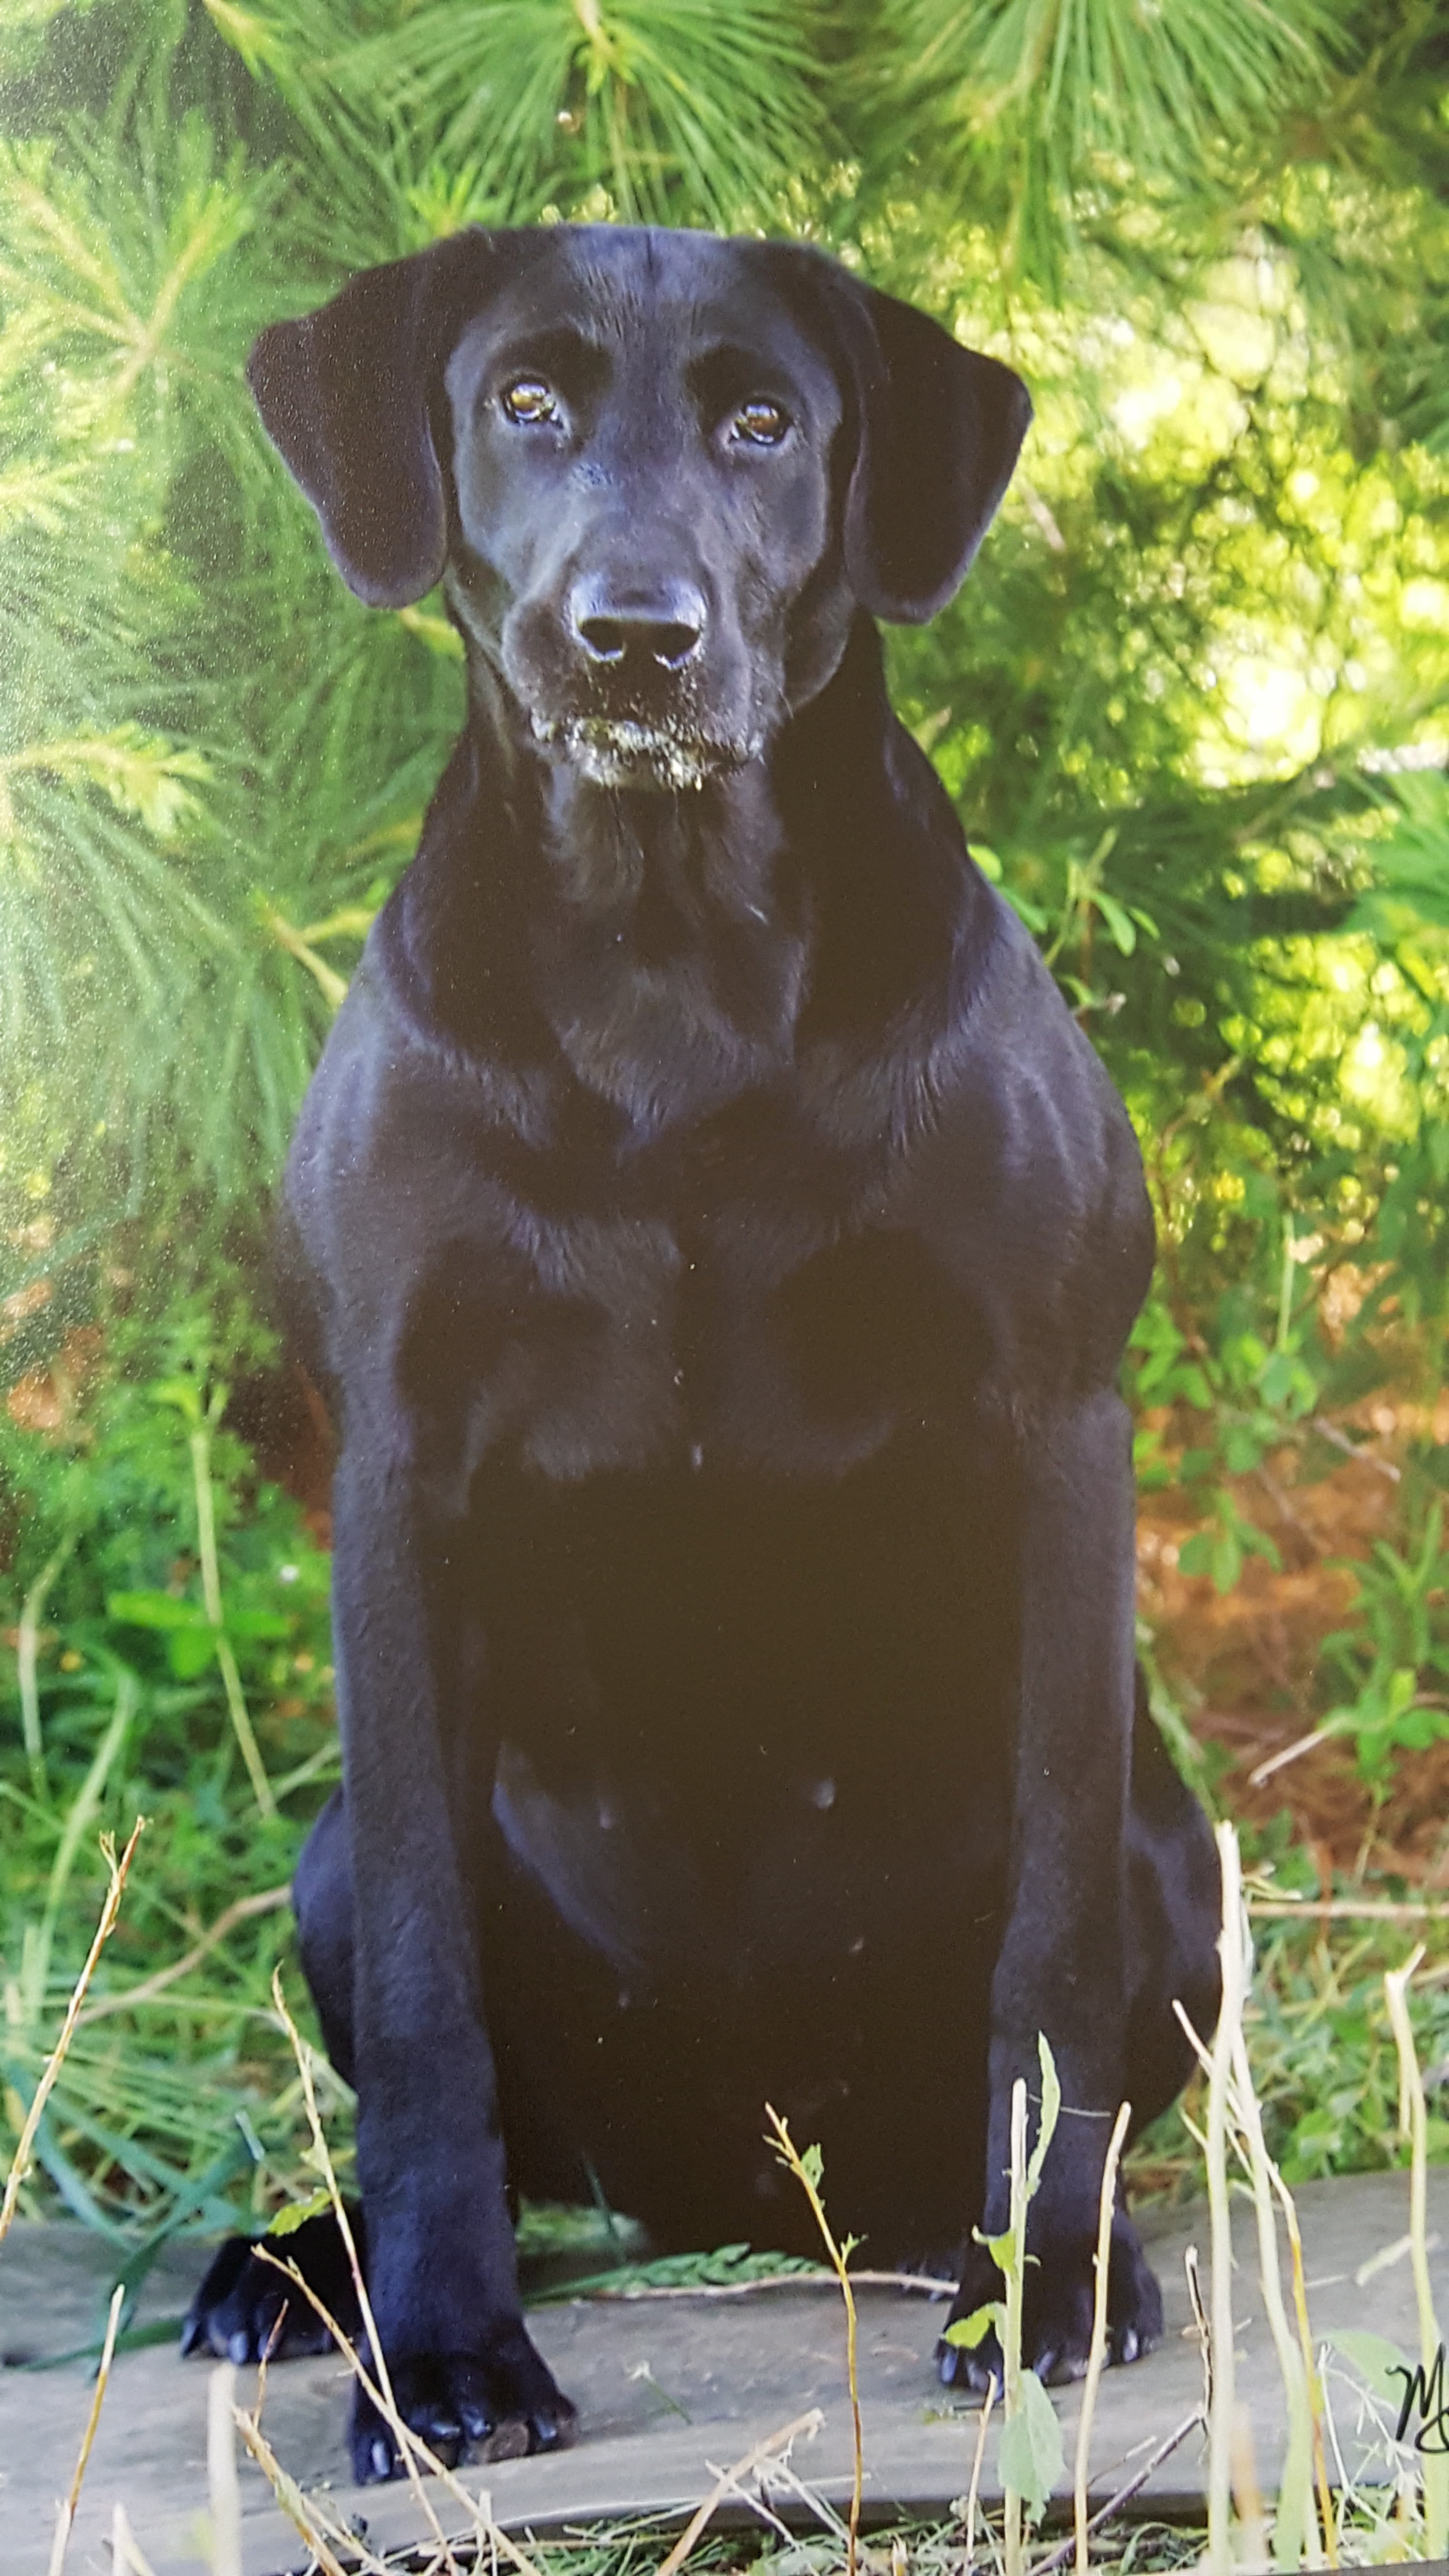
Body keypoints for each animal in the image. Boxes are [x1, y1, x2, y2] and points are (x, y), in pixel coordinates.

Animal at [183, 232, 1217, 2483]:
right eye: (525, 403)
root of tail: (739, 2181)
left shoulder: (1057, 1430)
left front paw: (1046, 2281)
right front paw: (444, 2350)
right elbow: (432, 2009)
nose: (633, 638)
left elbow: (1046, 1959)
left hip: (1171, 1834)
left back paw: (985, 2230)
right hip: (336, 1852)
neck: (666, 958)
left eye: (762, 421)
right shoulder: (395, 1476)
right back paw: (298, 2264)